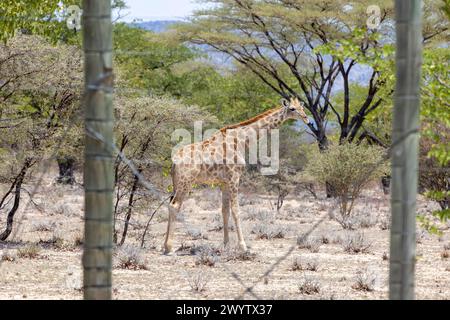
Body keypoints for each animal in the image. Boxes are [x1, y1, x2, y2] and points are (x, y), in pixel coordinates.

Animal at [163, 96, 312, 254]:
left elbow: (225, 211)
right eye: (292, 109)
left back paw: (164, 245)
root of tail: (174, 161)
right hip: (186, 182)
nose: (307, 119)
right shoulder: (234, 178)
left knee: (170, 204)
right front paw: (243, 246)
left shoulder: (223, 182)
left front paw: (226, 244)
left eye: (302, 107)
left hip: (176, 183)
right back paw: (169, 247)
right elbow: (236, 210)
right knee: (175, 205)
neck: (242, 141)